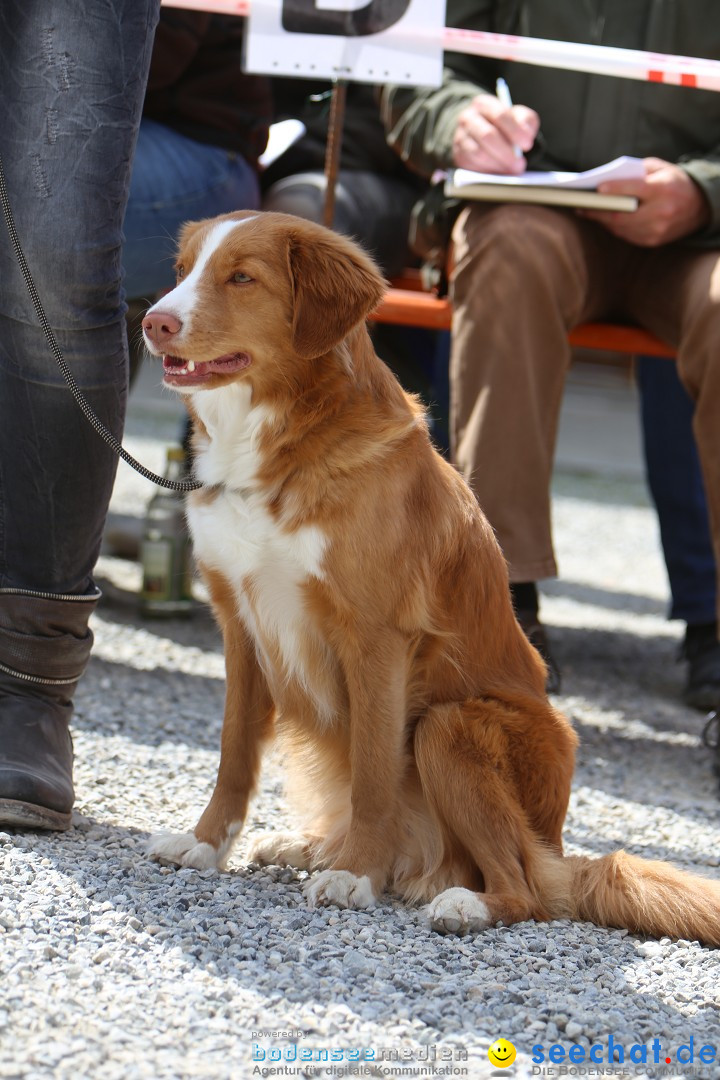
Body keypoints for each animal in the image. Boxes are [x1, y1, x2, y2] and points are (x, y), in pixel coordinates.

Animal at [142, 210, 720, 946]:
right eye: (181, 270)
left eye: (242, 277)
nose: (153, 322)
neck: (279, 445)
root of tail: (560, 850)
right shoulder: (240, 623)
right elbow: (233, 752)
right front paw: (206, 843)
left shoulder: (377, 639)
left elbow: (373, 775)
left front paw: (356, 875)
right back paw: (313, 846)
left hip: (449, 727)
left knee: (526, 888)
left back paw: (459, 900)